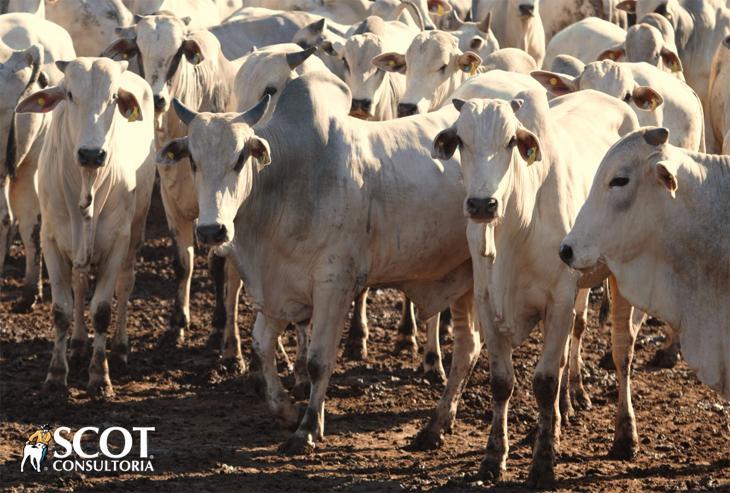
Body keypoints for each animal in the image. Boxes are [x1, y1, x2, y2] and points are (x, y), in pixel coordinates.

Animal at [16, 56, 155, 396]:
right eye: (69, 95)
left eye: (114, 97)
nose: (92, 154)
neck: (86, 185)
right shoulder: (51, 240)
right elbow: (62, 309)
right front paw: (56, 374)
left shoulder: (118, 241)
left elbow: (103, 309)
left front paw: (100, 377)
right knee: (79, 287)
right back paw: (78, 345)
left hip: (137, 228)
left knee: (125, 284)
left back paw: (119, 350)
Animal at [101, 11, 242, 366]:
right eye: (138, 48)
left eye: (179, 51)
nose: (158, 98)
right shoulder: (170, 200)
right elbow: (183, 261)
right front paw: (178, 323)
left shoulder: (218, 214)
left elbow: (216, 263)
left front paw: (218, 327)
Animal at [156, 68, 540, 454]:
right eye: (193, 161)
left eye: (239, 159)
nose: (211, 230)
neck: (289, 178)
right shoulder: (279, 288)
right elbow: (261, 348)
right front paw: (287, 411)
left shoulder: (333, 284)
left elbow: (317, 360)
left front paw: (308, 428)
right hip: (464, 278)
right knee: (467, 347)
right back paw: (436, 425)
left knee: (469, 348)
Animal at [426, 87, 636, 484]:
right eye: (461, 140)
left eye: (511, 140)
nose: (482, 204)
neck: (515, 227)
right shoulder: (487, 301)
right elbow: (501, 382)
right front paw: (494, 457)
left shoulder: (559, 300)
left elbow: (544, 382)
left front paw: (542, 465)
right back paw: (563, 413)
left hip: (618, 280)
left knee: (622, 351)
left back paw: (625, 436)